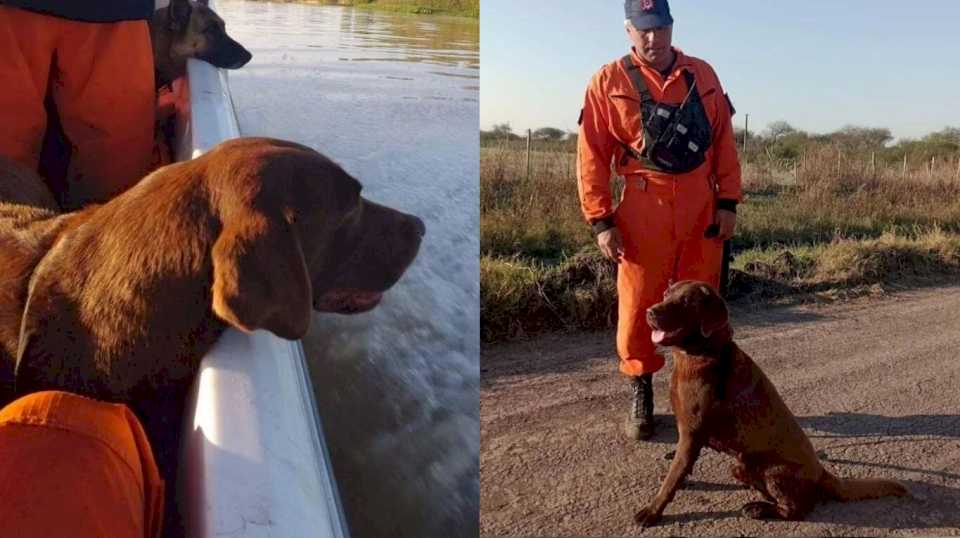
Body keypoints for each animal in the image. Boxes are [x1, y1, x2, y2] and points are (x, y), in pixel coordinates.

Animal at [636, 280, 908, 524]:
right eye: (666, 293)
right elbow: (680, 467)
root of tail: (821, 471)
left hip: (769, 470)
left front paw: (652, 511)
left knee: (796, 509)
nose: (649, 312)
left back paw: (759, 509)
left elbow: (672, 478)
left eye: (685, 302)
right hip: (740, 465)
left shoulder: (692, 435)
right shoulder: (689, 435)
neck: (704, 355)